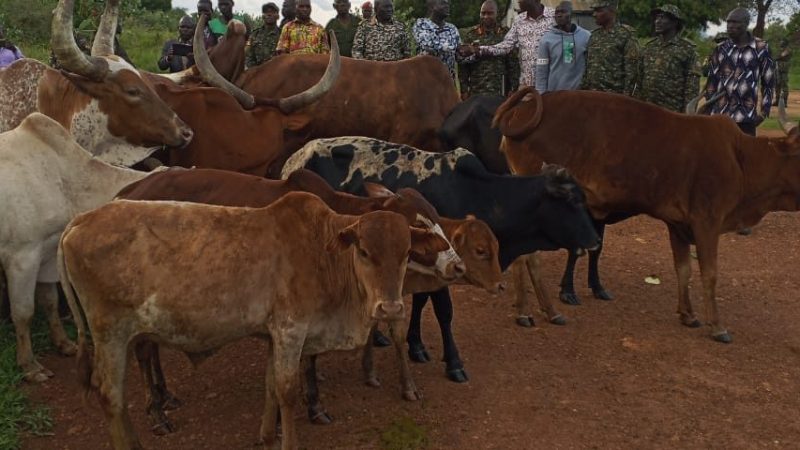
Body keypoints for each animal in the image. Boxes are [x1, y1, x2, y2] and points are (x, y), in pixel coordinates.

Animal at [0, 113, 165, 382]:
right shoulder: (22, 257)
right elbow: (24, 313)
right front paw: (30, 366)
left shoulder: (48, 255)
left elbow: (50, 301)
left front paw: (64, 344)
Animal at [58, 192, 450, 450]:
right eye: (365, 251)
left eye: (406, 254)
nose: (390, 309)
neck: (322, 252)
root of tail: (79, 221)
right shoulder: (291, 330)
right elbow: (287, 391)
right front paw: (288, 442)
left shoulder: (274, 333)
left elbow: (270, 384)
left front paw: (266, 435)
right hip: (110, 333)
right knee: (110, 395)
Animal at [113, 167, 492, 433]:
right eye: (420, 227)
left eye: (437, 221)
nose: (457, 266)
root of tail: (127, 193)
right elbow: (306, 362)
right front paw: (313, 407)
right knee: (144, 350)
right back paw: (156, 412)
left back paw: (165, 396)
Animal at [282, 137, 600, 381]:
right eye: (572, 200)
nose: (595, 240)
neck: (478, 192)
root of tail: (295, 158)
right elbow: (444, 312)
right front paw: (454, 363)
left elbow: (421, 302)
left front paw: (416, 344)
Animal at [494, 86, 800, 343]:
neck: (740, 158)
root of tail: (524, 111)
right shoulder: (707, 221)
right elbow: (709, 273)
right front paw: (717, 326)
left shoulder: (678, 225)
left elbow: (683, 269)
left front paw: (688, 314)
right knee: (528, 255)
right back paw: (534, 310)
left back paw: (536, 310)